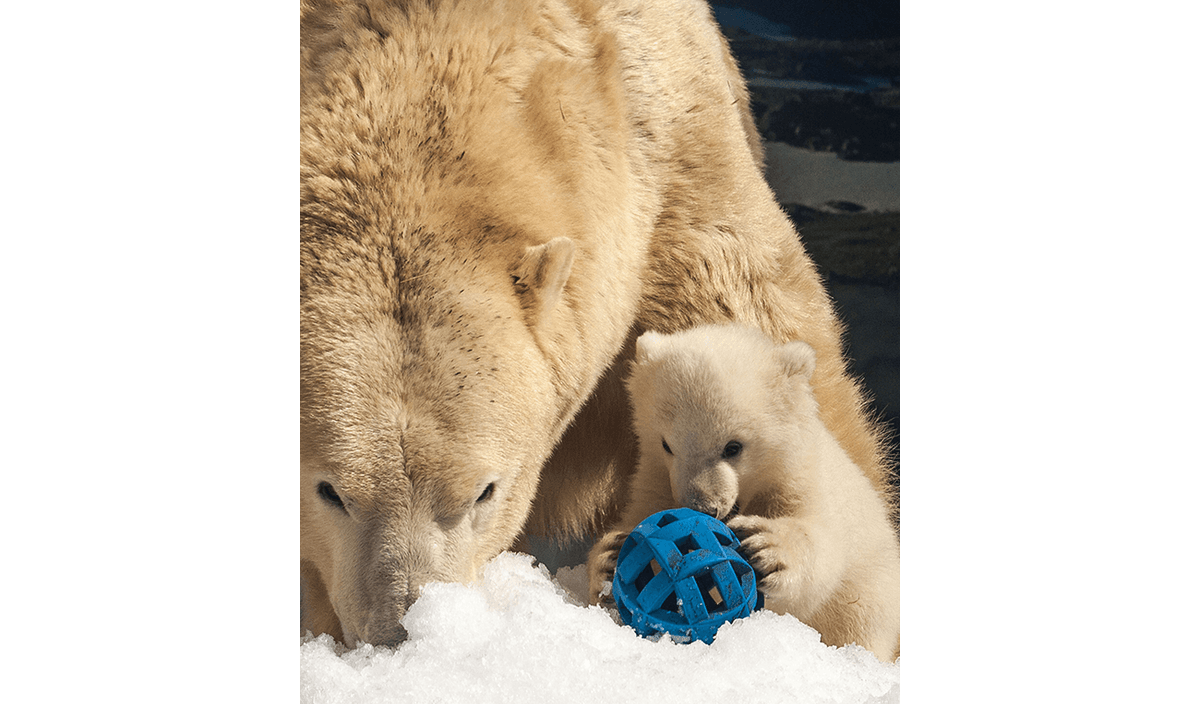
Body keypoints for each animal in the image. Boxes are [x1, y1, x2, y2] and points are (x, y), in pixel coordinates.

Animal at [587, 324, 900, 661]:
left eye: (733, 447)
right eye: (667, 444)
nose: (703, 507)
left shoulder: (803, 481)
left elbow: (821, 545)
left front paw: (767, 548)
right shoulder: (655, 480)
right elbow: (637, 519)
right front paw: (608, 559)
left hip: (870, 593)